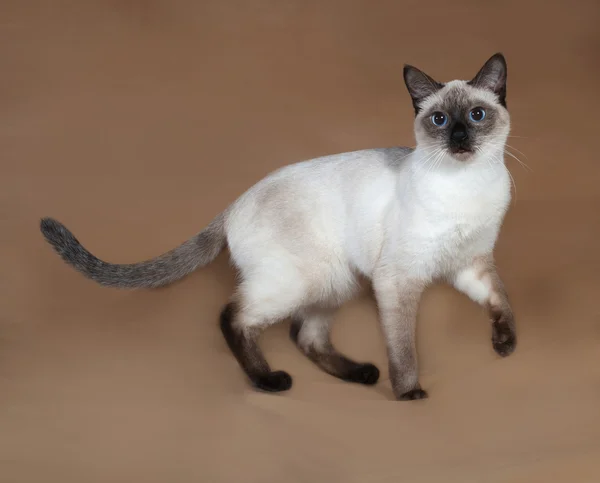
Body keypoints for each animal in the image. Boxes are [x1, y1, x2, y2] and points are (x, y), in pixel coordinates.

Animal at [39, 52, 516, 400]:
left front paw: (506, 346)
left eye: (476, 116)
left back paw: (360, 374)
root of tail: (233, 204)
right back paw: (270, 382)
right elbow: (404, 348)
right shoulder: (399, 278)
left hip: (335, 281)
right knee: (234, 317)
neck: (468, 187)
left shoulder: (468, 264)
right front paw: (409, 394)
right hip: (303, 280)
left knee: (304, 335)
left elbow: (500, 301)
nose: (459, 139)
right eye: (440, 120)